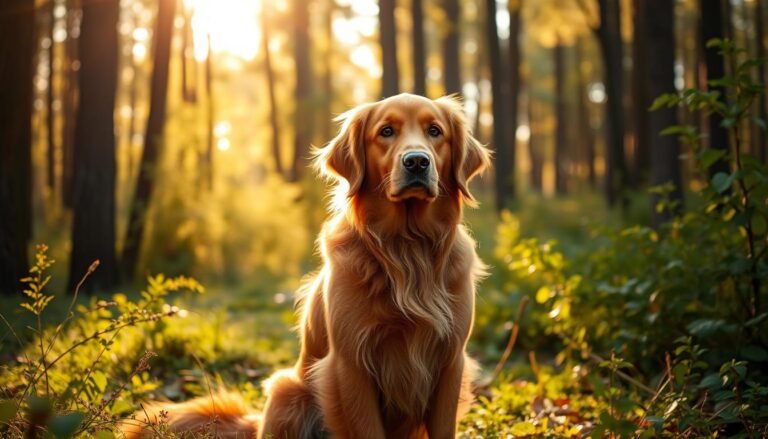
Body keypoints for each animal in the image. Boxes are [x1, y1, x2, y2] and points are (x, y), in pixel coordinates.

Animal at [121, 94, 492, 438]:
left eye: (435, 131)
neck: (406, 249)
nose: (416, 161)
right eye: (386, 131)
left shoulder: (450, 362)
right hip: (287, 390)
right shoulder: (351, 364)